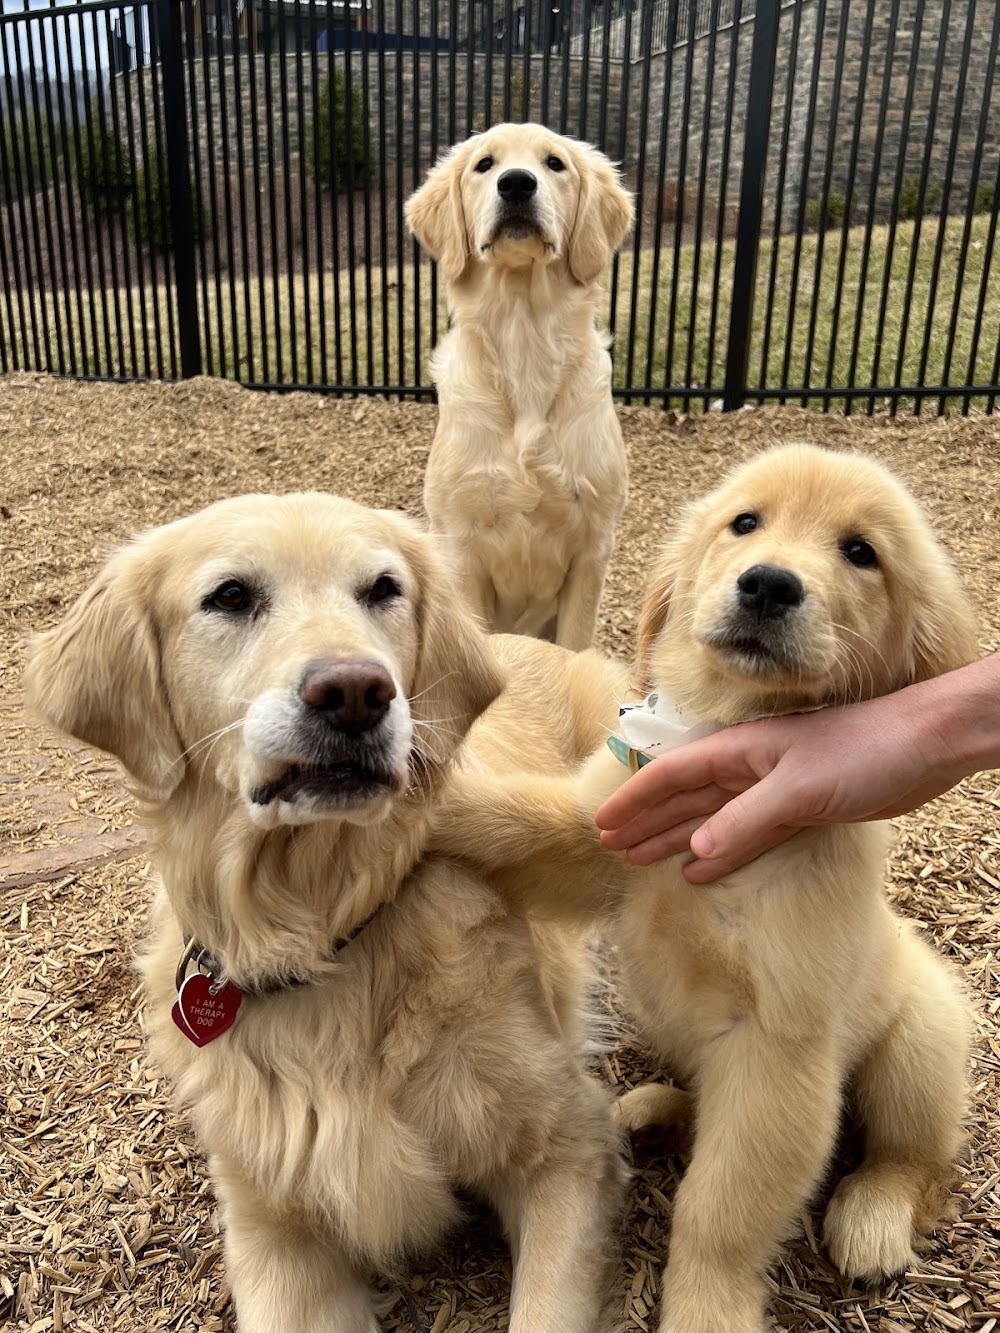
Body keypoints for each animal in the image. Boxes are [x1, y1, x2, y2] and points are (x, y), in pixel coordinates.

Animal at [27, 495, 629, 1333]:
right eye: (231, 595)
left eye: (382, 588)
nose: (355, 691)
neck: (323, 932)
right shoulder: (271, 1226)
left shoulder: (569, 1148)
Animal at [405, 122, 634, 653]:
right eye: (484, 164)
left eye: (555, 163)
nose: (515, 184)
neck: (524, 337)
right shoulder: (463, 545)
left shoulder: (592, 548)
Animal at [432, 445, 981, 1333]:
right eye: (745, 522)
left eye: (861, 552)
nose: (768, 584)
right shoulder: (603, 833)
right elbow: (513, 817)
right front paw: (407, 800)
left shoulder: (776, 1050)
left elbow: (721, 1207)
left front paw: (706, 1309)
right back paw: (653, 1109)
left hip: (920, 1040)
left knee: (917, 1158)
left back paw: (873, 1219)